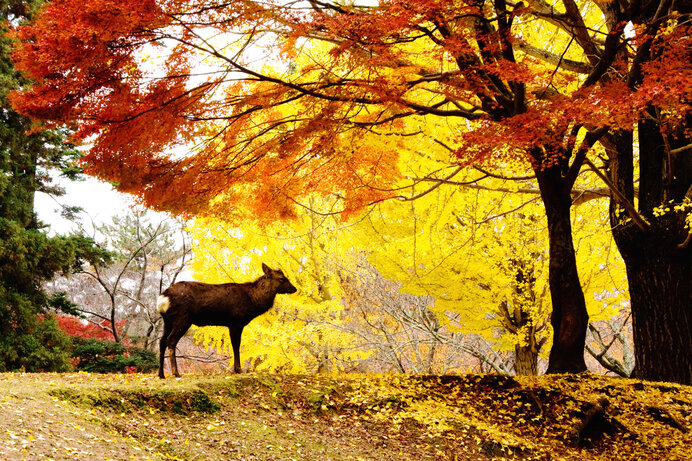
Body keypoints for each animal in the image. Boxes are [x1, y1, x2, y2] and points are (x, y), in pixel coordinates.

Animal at [157, 262, 298, 378]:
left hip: (167, 321)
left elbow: (233, 345)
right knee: (171, 340)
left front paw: (236, 369)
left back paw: (161, 374)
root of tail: (163, 298)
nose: (294, 288)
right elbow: (236, 345)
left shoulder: (231, 324)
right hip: (183, 318)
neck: (253, 302)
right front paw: (238, 369)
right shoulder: (236, 321)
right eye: (282, 278)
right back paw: (175, 372)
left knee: (162, 341)